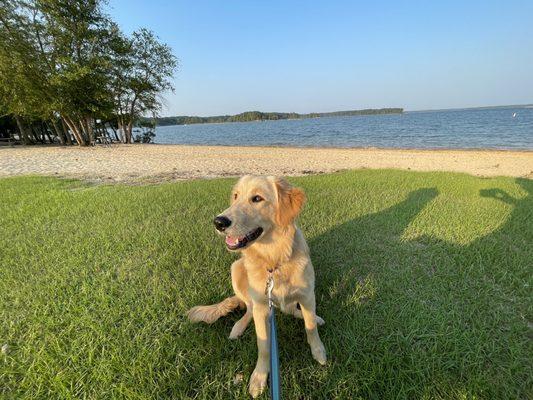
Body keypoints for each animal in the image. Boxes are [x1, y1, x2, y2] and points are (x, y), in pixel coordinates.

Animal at [189, 175, 326, 396]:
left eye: (257, 198)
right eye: (235, 196)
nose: (218, 222)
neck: (274, 260)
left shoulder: (307, 295)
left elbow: (310, 327)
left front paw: (318, 350)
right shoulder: (262, 307)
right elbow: (263, 346)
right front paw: (259, 377)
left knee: (292, 310)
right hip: (236, 268)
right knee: (248, 308)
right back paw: (238, 326)